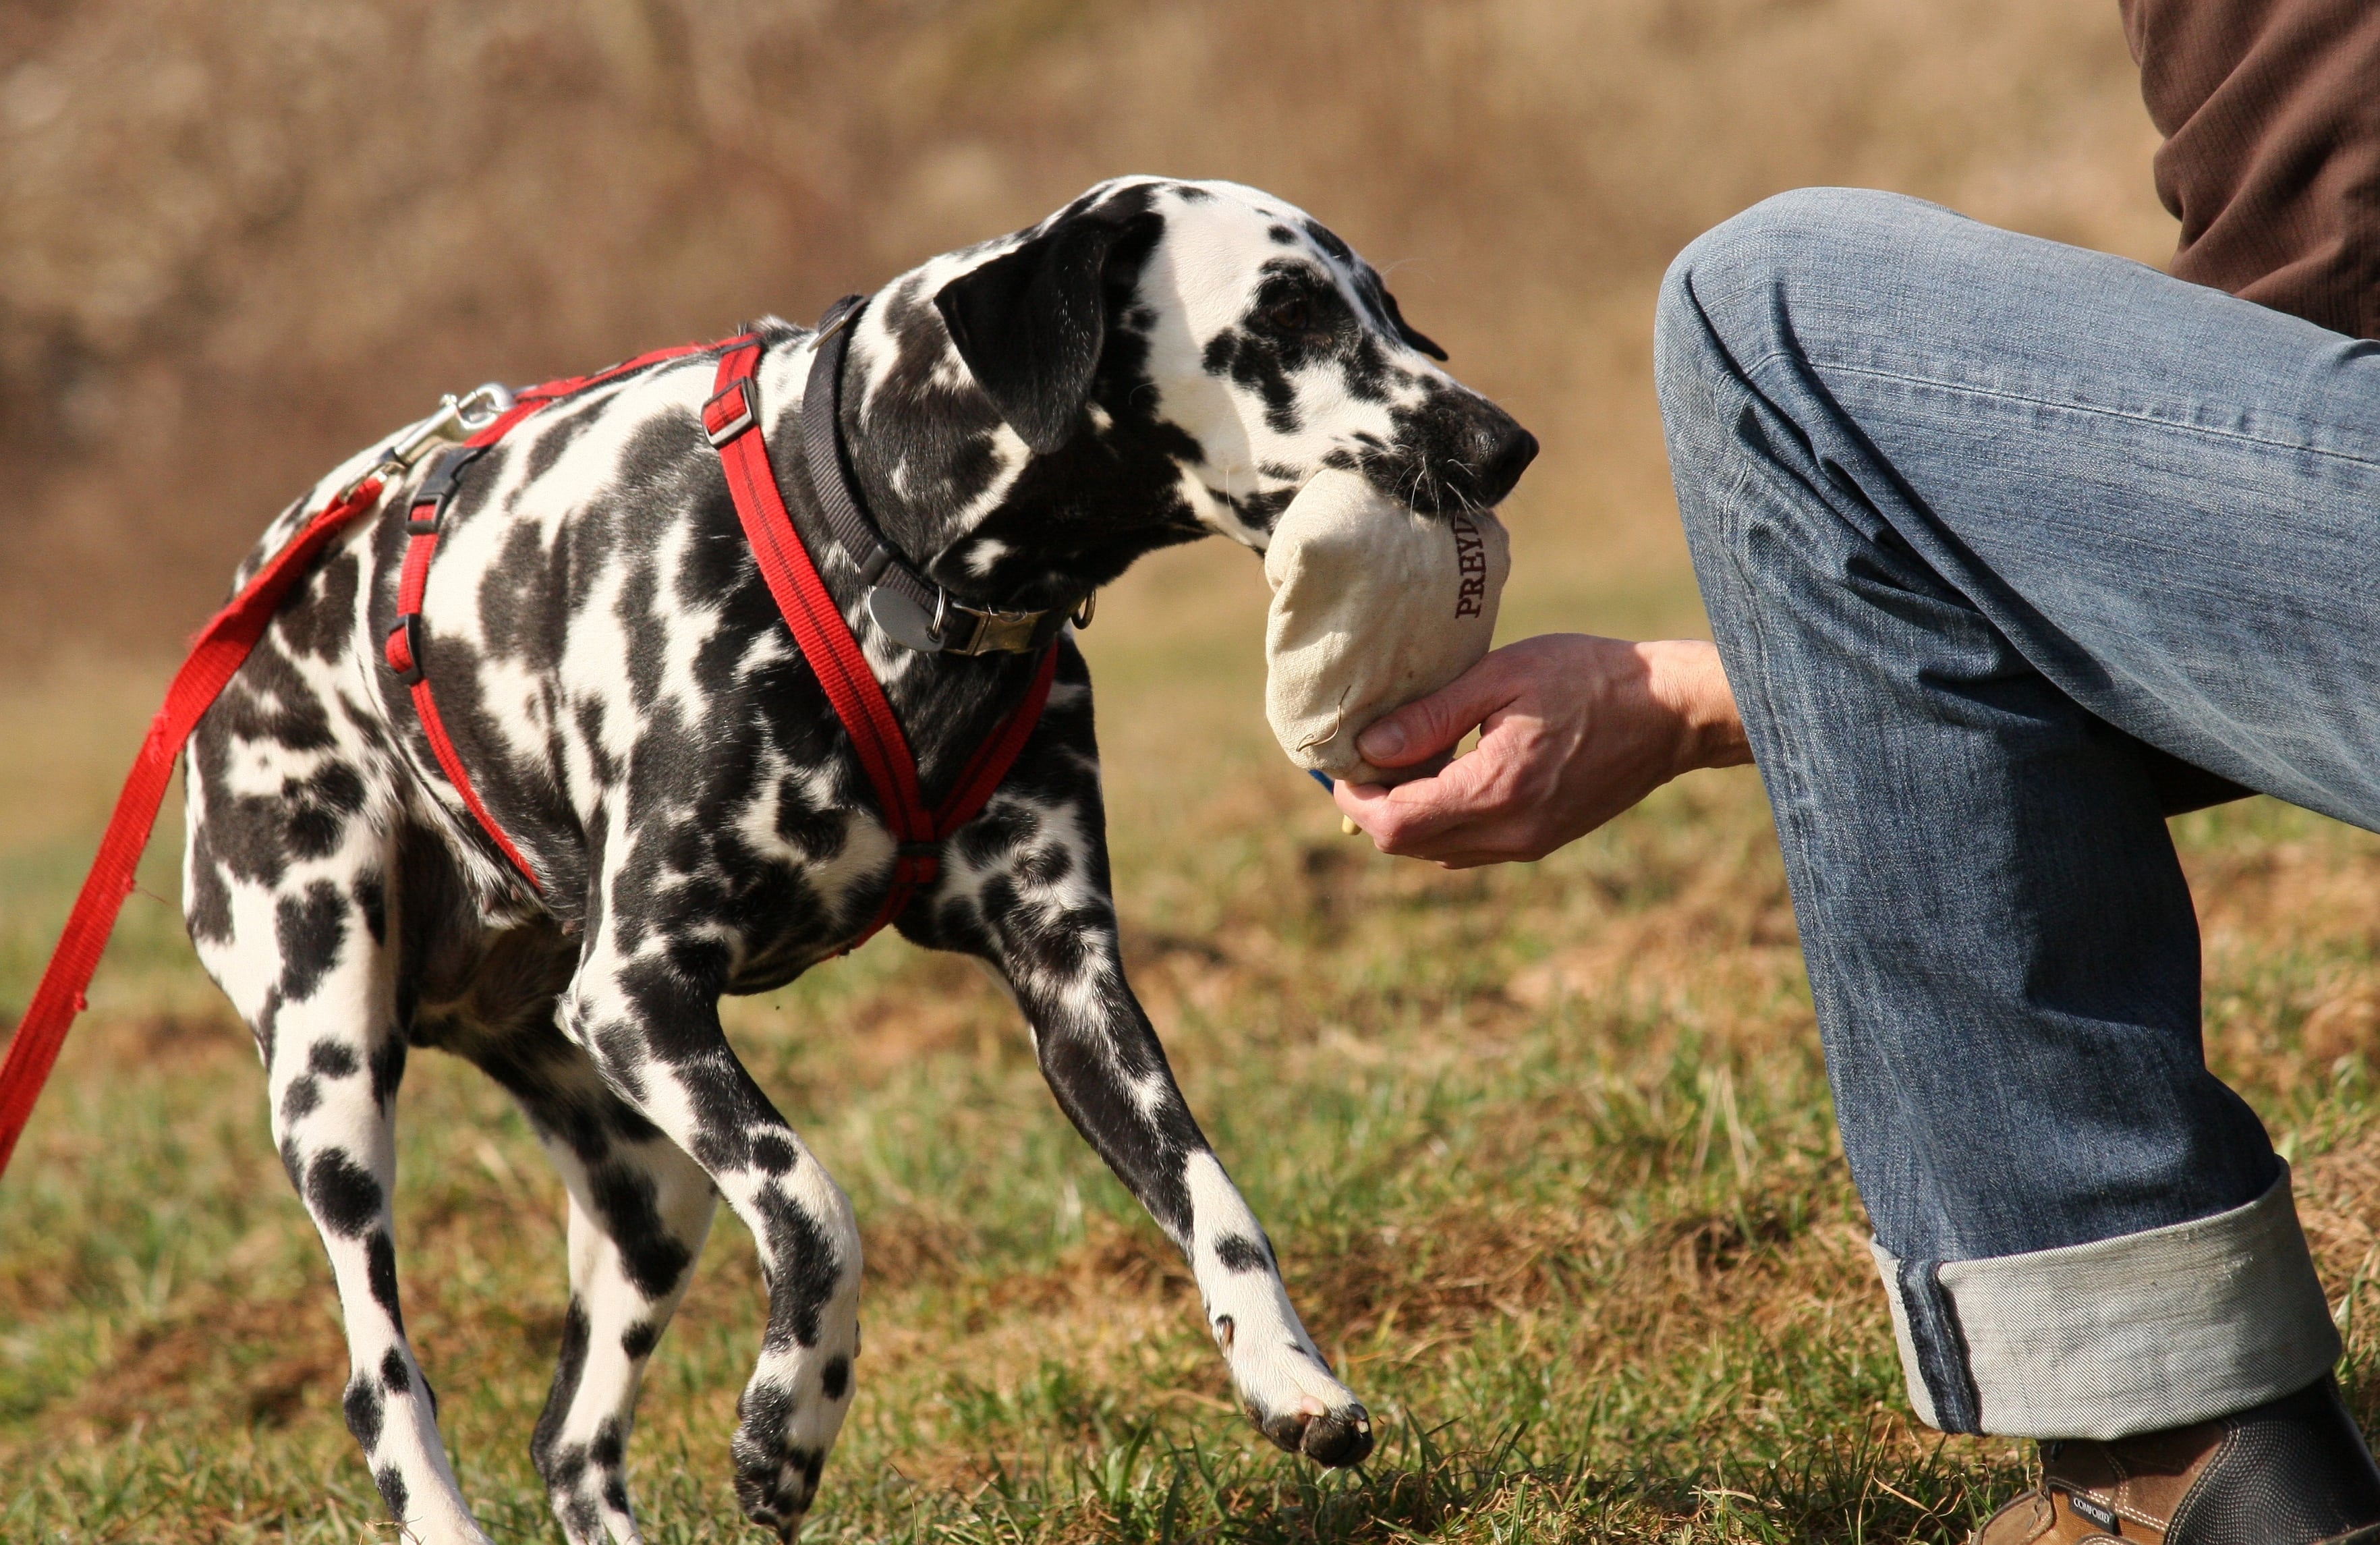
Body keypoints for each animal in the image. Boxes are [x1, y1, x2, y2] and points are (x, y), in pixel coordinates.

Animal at [181, 175, 1523, 1533]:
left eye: (1386, 304)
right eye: (1288, 311)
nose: (1502, 444)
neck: (889, 545)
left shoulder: (1074, 986)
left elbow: (1214, 1194)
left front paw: (1287, 1370)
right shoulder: (642, 991)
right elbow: (815, 1207)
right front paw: (794, 1413)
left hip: (647, 1187)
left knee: (571, 1442)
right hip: (339, 1080)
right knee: (380, 1381)